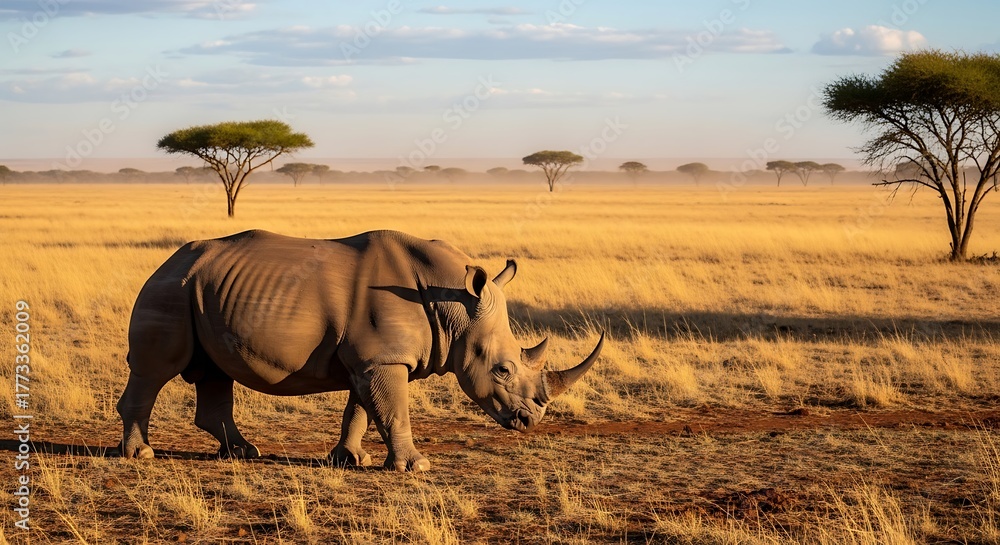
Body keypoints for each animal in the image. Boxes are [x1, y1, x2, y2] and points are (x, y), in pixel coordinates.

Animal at [117, 229, 603, 471]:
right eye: (502, 370)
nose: (529, 421)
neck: (453, 304)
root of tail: (167, 261)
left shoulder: (372, 357)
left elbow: (363, 410)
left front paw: (349, 459)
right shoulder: (383, 359)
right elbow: (392, 411)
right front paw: (415, 467)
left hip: (203, 289)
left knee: (215, 372)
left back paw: (242, 453)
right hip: (170, 288)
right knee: (156, 371)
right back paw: (141, 456)